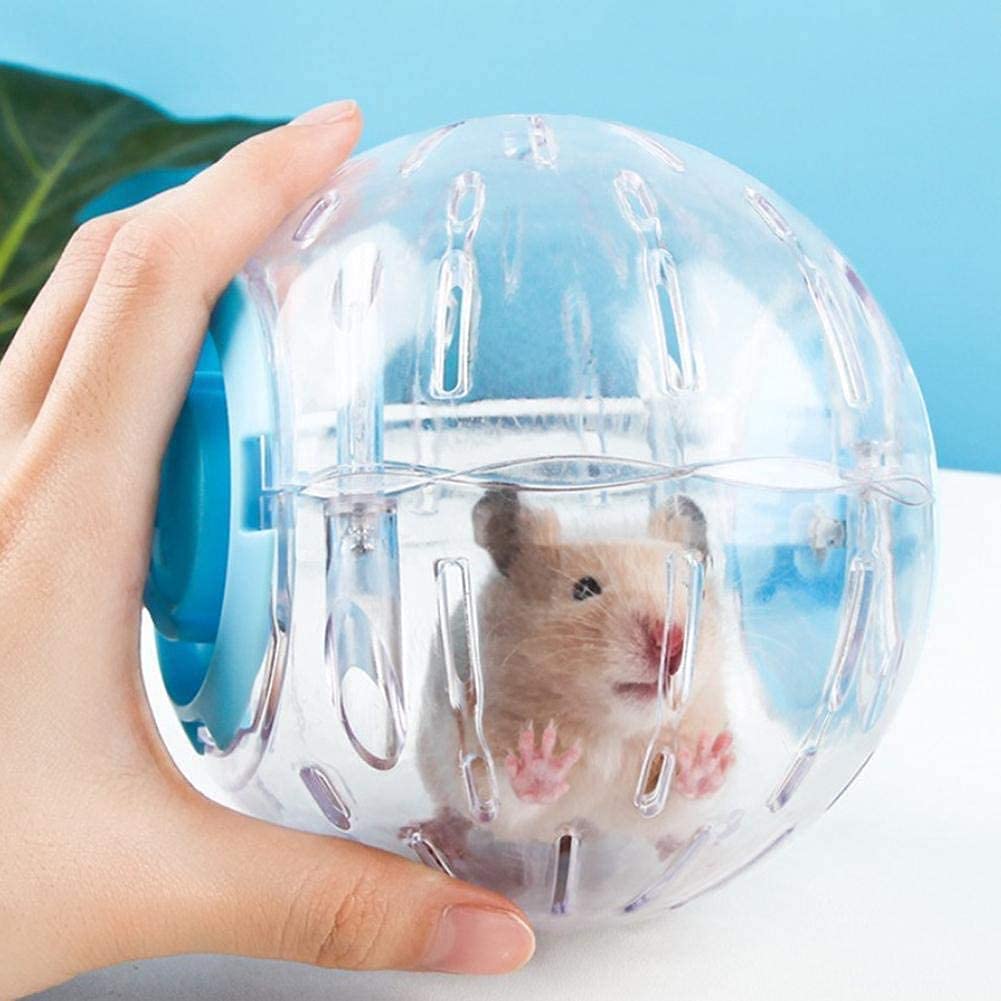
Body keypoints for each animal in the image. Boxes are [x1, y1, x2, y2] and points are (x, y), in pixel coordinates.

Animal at [411, 489, 743, 857]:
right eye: (584, 589)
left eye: (690, 587)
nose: (672, 644)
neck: (611, 731)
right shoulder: (475, 742)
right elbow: (503, 794)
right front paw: (538, 759)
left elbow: (678, 803)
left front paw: (706, 759)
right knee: (457, 814)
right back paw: (423, 834)